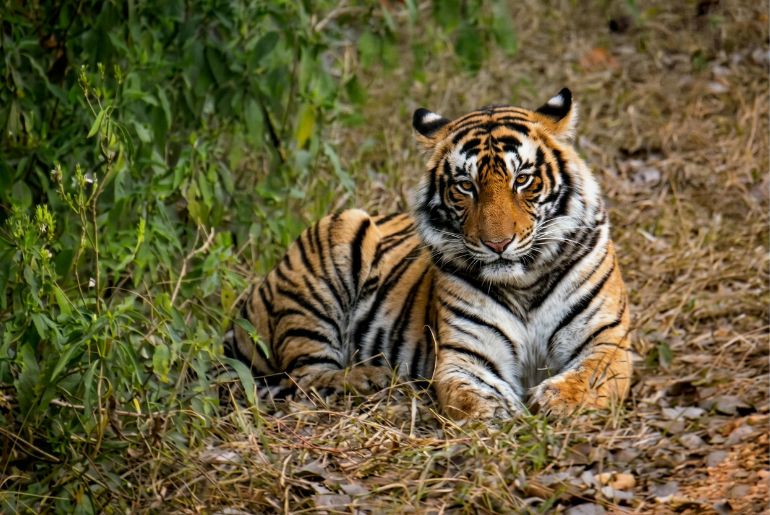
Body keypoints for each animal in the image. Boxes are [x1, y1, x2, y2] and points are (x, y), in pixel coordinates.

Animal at [230, 88, 632, 420]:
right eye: (466, 186)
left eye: (523, 180)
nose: (497, 244)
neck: (524, 283)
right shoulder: (465, 354)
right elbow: (472, 395)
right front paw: (501, 415)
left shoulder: (606, 338)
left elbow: (589, 375)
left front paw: (556, 402)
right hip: (336, 238)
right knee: (306, 375)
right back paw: (370, 378)